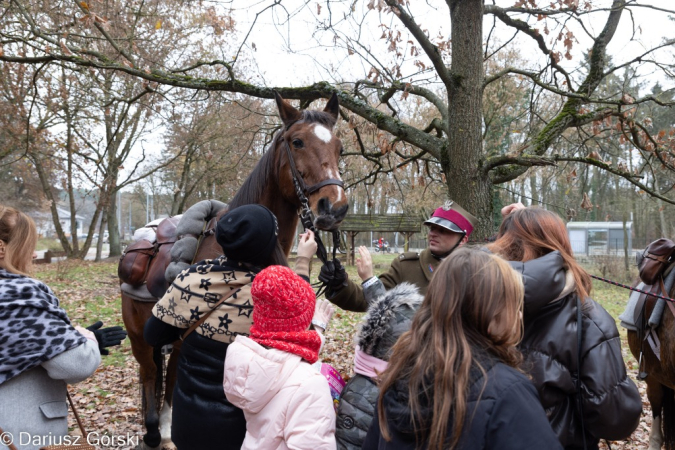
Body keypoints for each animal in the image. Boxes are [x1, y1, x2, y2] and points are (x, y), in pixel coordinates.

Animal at [122, 92, 352, 450]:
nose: (335, 207)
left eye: (340, 147)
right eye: (297, 142)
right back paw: (153, 431)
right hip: (140, 341)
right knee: (151, 379)